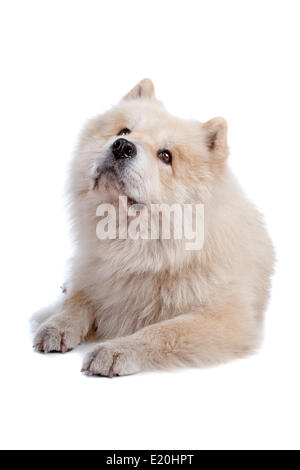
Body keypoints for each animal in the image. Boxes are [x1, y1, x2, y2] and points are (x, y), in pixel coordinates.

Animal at [32, 79, 274, 376]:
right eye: (124, 131)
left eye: (165, 156)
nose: (122, 146)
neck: (134, 245)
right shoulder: (93, 274)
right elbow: (78, 301)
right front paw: (57, 326)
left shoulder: (225, 318)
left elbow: (162, 331)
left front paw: (115, 351)